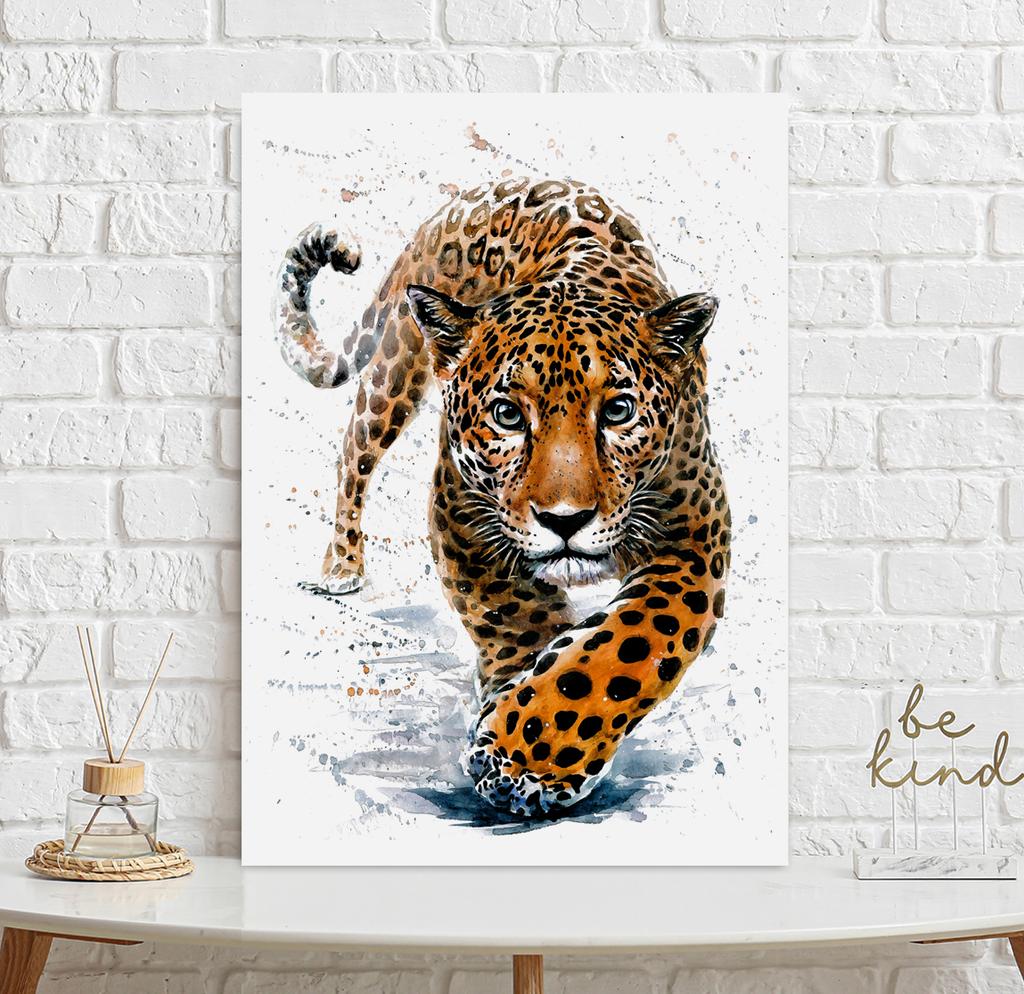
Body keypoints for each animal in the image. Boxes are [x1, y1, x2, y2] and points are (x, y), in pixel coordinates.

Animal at [274, 176, 730, 818]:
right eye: (508, 415)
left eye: (618, 411)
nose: (565, 519)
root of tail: (474, 192)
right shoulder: (462, 517)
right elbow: (517, 617)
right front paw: (520, 738)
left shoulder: (694, 541)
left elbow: (626, 646)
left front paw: (529, 754)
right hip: (396, 367)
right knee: (353, 453)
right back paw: (342, 564)